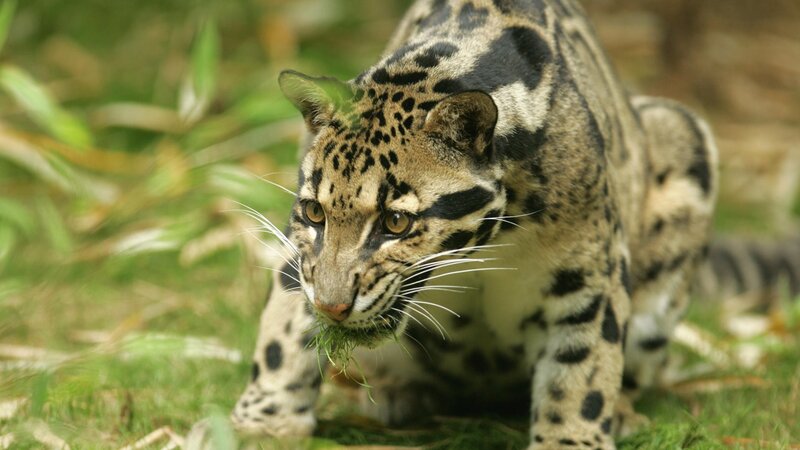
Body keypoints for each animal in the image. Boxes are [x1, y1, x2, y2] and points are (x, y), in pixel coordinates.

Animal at [228, 0, 719, 448]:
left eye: (396, 222)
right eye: (315, 213)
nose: (332, 308)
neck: (490, 243)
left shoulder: (589, 276)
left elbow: (581, 374)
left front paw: (571, 438)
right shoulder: (302, 255)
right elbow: (282, 333)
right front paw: (263, 424)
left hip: (680, 132)